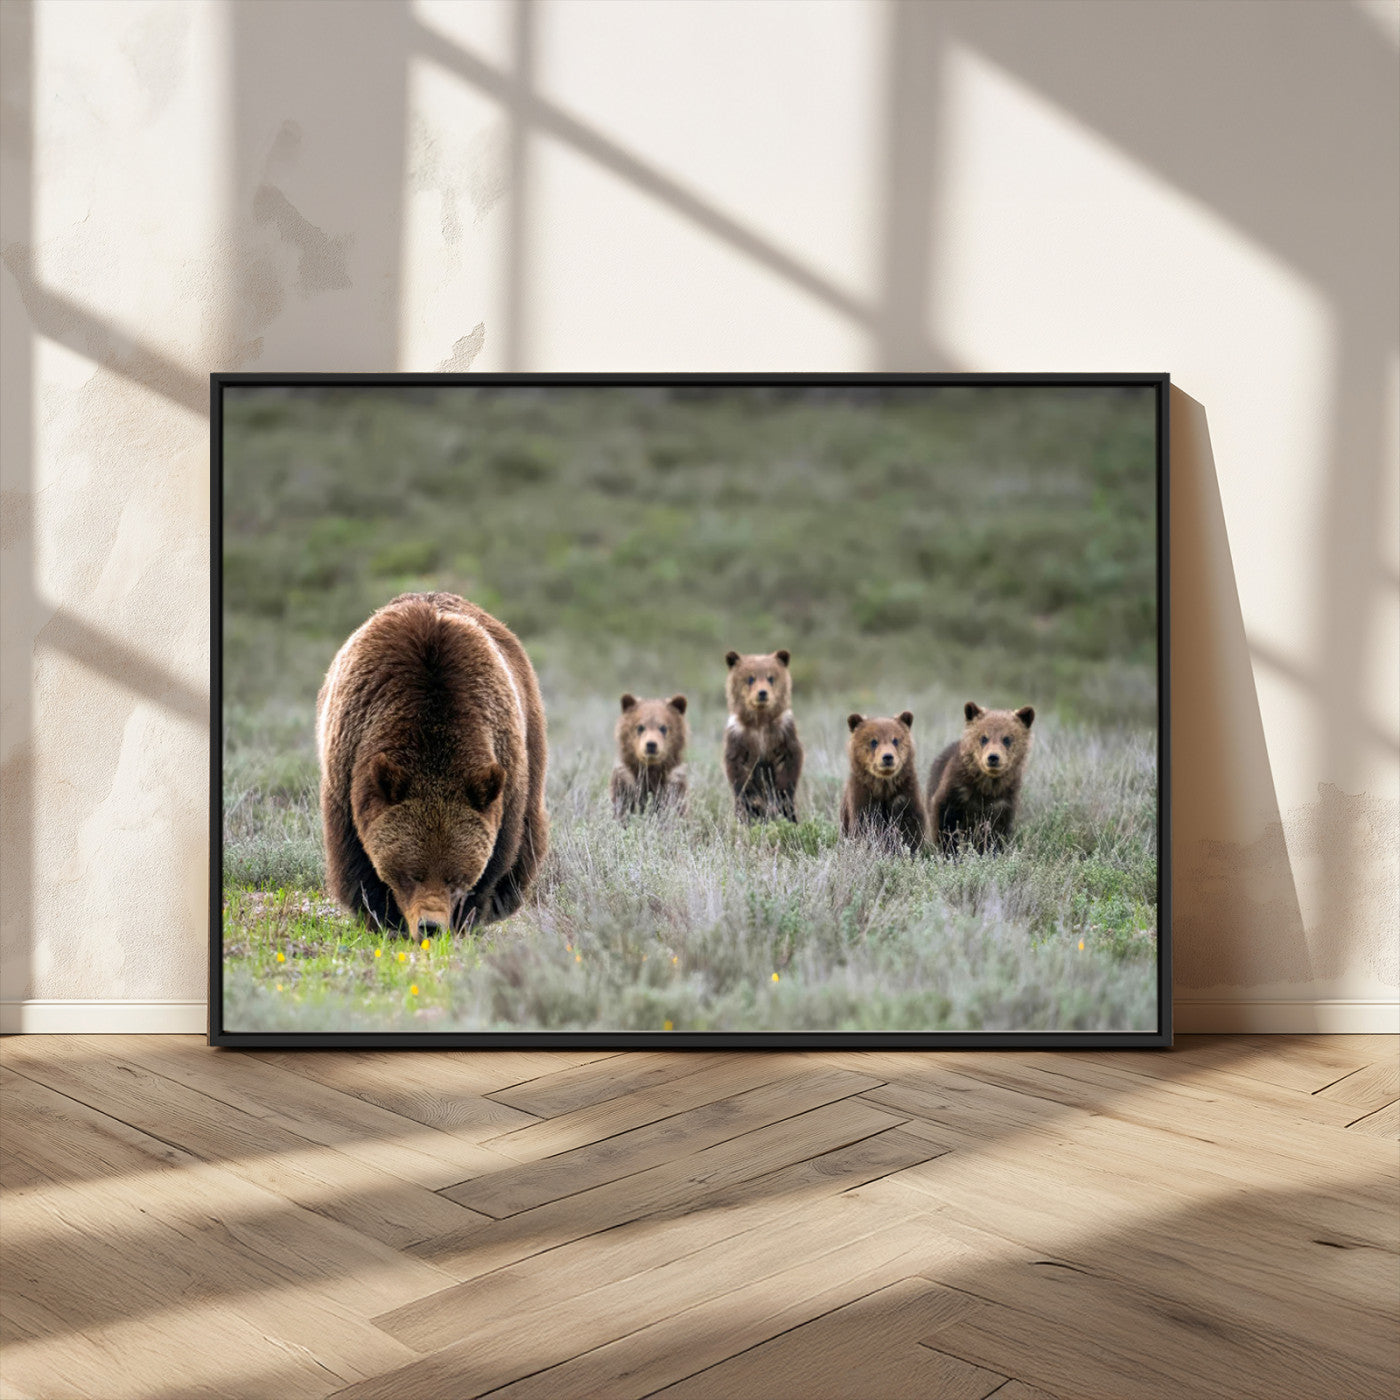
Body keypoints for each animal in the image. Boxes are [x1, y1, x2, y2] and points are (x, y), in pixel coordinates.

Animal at [316, 591, 549, 935]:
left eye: (456, 876)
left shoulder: (504, 771)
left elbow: (499, 854)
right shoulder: (348, 767)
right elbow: (354, 857)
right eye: (412, 873)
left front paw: (467, 917)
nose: (431, 925)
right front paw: (382, 916)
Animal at [723, 649, 803, 821]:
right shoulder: (739, 736)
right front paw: (754, 803)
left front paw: (781, 797)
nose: (762, 693)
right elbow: (738, 770)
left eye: (770, 677)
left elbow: (789, 763)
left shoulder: (783, 732)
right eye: (750, 678)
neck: (760, 724)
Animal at [841, 711, 927, 853]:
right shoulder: (863, 798)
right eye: (873, 741)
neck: (884, 786)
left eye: (895, 740)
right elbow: (864, 827)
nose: (887, 757)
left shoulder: (905, 795)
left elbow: (910, 829)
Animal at [926, 701, 1035, 855]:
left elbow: (997, 832)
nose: (993, 757)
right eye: (984, 738)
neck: (986, 787)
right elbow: (945, 824)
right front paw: (950, 851)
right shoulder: (955, 793)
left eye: (1007, 739)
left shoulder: (1003, 801)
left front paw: (992, 851)